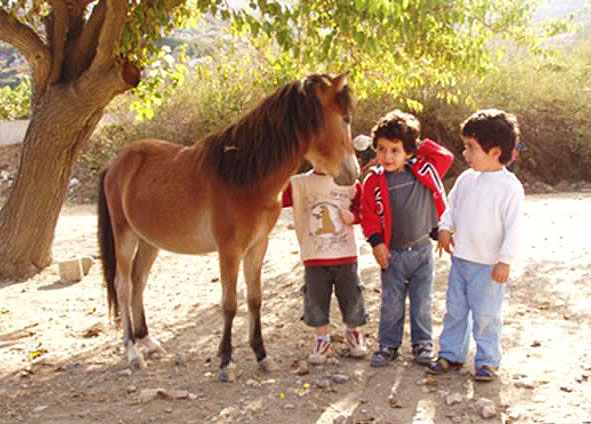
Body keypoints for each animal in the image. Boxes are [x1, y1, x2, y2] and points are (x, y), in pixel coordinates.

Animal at [97, 73, 358, 380]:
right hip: (124, 235)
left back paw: (148, 341)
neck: (243, 175)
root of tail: (115, 163)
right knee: (123, 285)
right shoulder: (229, 250)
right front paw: (226, 362)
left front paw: (262, 356)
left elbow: (255, 299)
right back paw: (133, 352)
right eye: (345, 119)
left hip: (149, 241)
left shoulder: (257, 246)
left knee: (139, 281)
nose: (354, 172)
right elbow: (230, 304)